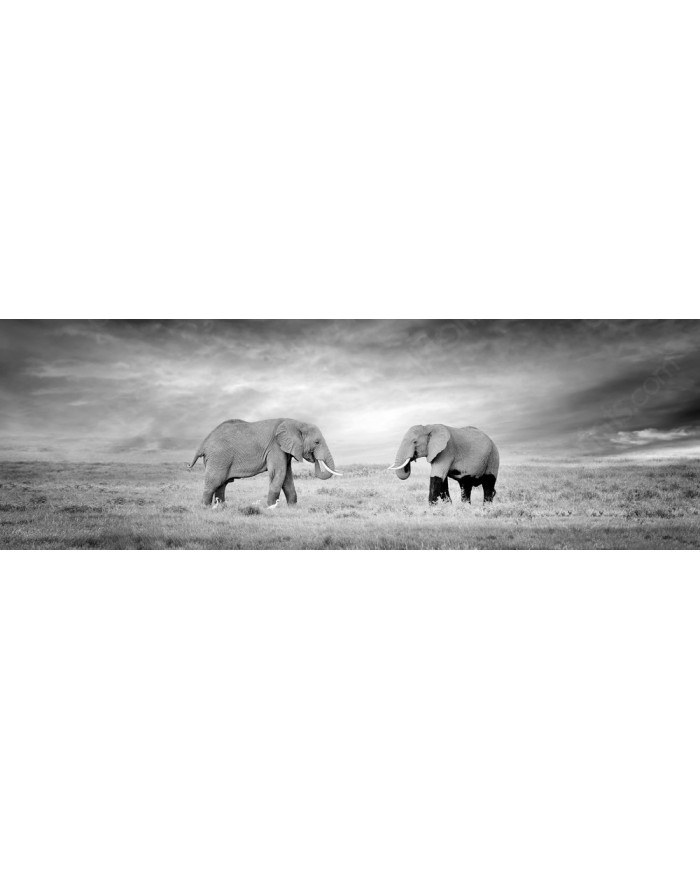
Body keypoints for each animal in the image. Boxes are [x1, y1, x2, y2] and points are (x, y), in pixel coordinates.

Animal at [188, 418, 341, 508]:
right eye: (317, 442)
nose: (314, 457)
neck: (296, 422)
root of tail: (203, 443)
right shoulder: (275, 447)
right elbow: (279, 473)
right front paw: (271, 507)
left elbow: (287, 477)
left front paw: (292, 507)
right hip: (218, 458)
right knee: (214, 482)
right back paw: (206, 507)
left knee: (222, 484)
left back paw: (222, 507)